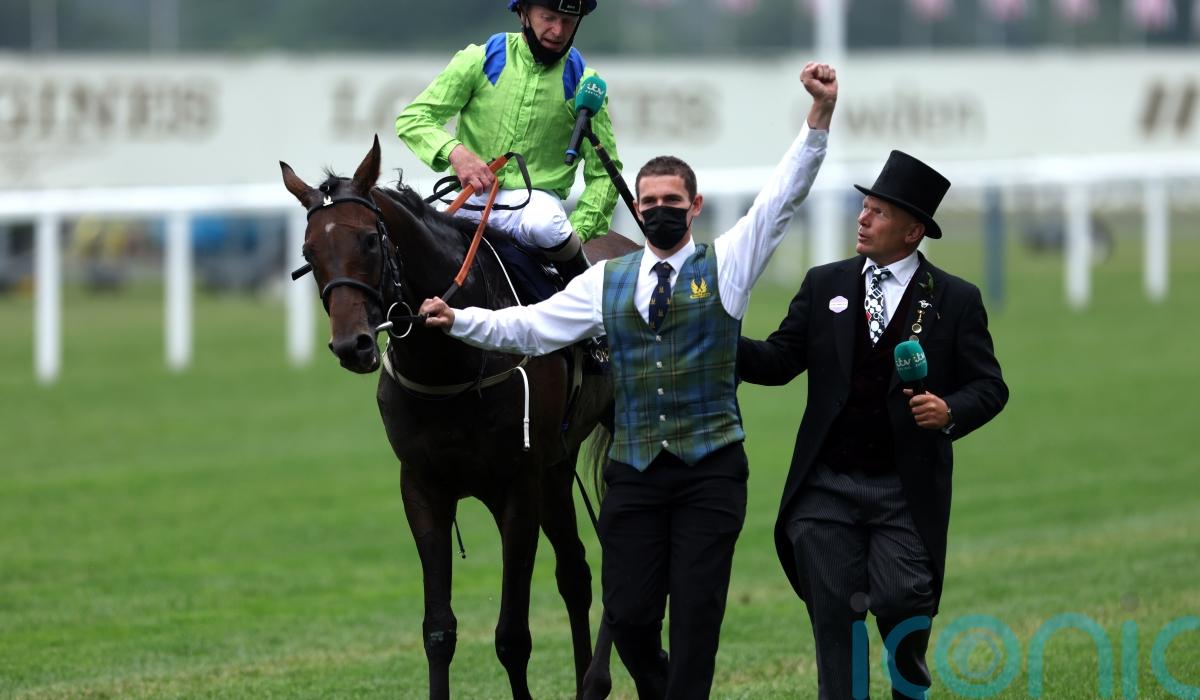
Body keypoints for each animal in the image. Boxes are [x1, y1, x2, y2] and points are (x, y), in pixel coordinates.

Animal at [280, 136, 639, 700]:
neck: (452, 359)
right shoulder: (424, 486)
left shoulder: (516, 486)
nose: (351, 345)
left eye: (369, 241)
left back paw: (600, 678)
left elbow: (512, 635)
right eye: (308, 252)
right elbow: (438, 631)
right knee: (575, 573)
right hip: (557, 467)